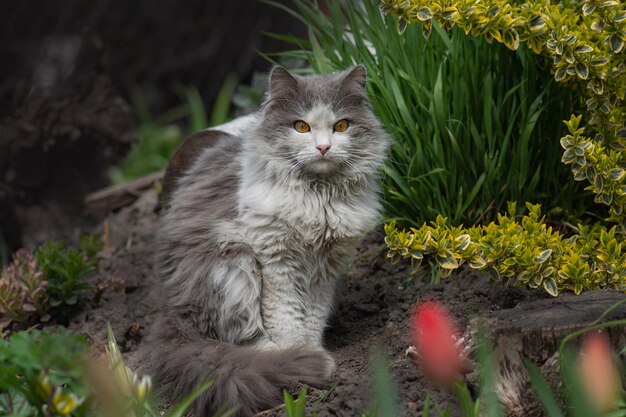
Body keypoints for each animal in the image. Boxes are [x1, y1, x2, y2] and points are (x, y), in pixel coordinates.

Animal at [148, 66, 388, 416]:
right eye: (301, 126)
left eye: (341, 125)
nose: (323, 148)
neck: (319, 196)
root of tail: (171, 316)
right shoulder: (276, 259)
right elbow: (286, 319)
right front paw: (299, 357)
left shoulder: (326, 269)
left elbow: (312, 318)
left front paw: (310, 350)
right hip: (233, 267)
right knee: (243, 337)